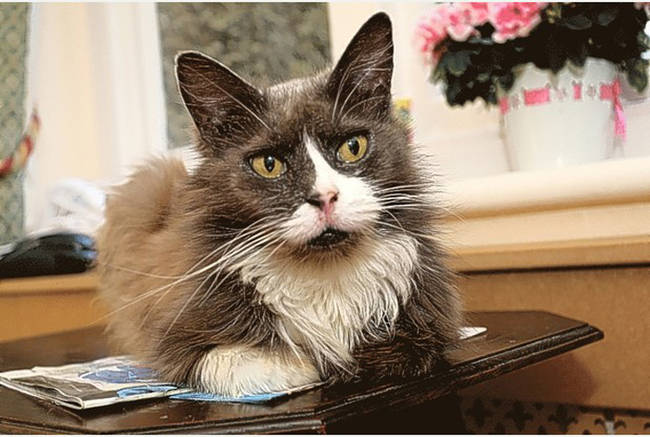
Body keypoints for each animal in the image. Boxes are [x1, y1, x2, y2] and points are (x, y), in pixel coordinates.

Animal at [97, 12, 460, 396]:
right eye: (268, 164)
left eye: (353, 147)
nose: (324, 197)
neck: (324, 273)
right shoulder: (174, 331)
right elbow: (237, 362)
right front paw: (302, 366)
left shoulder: (430, 321)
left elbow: (410, 349)